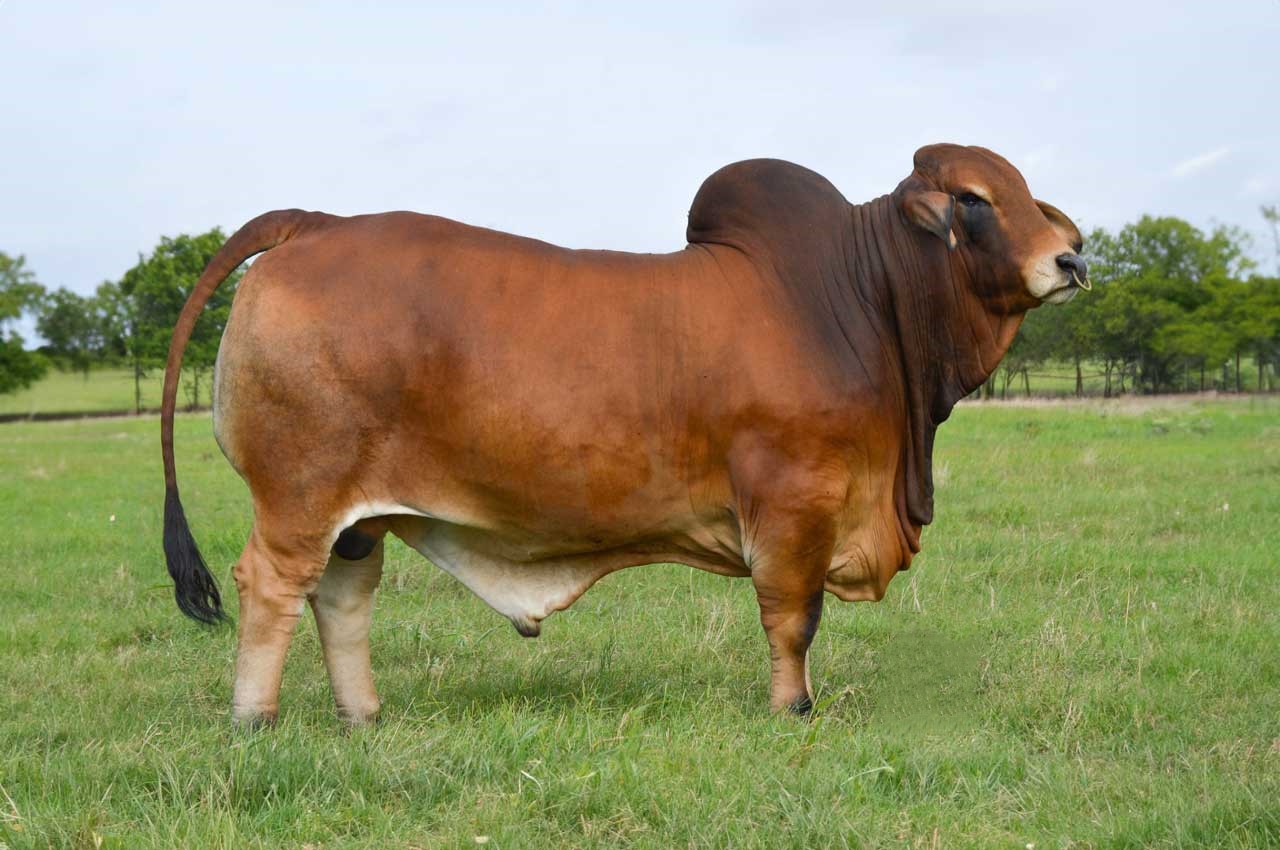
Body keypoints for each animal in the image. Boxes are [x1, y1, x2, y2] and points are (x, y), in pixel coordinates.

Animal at [160, 144, 1086, 725]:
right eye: (972, 199)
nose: (1073, 260)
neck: (860, 298)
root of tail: (314, 221)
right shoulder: (796, 504)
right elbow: (794, 617)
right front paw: (793, 708)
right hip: (300, 496)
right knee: (271, 585)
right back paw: (255, 718)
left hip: (358, 517)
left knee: (343, 597)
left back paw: (363, 715)